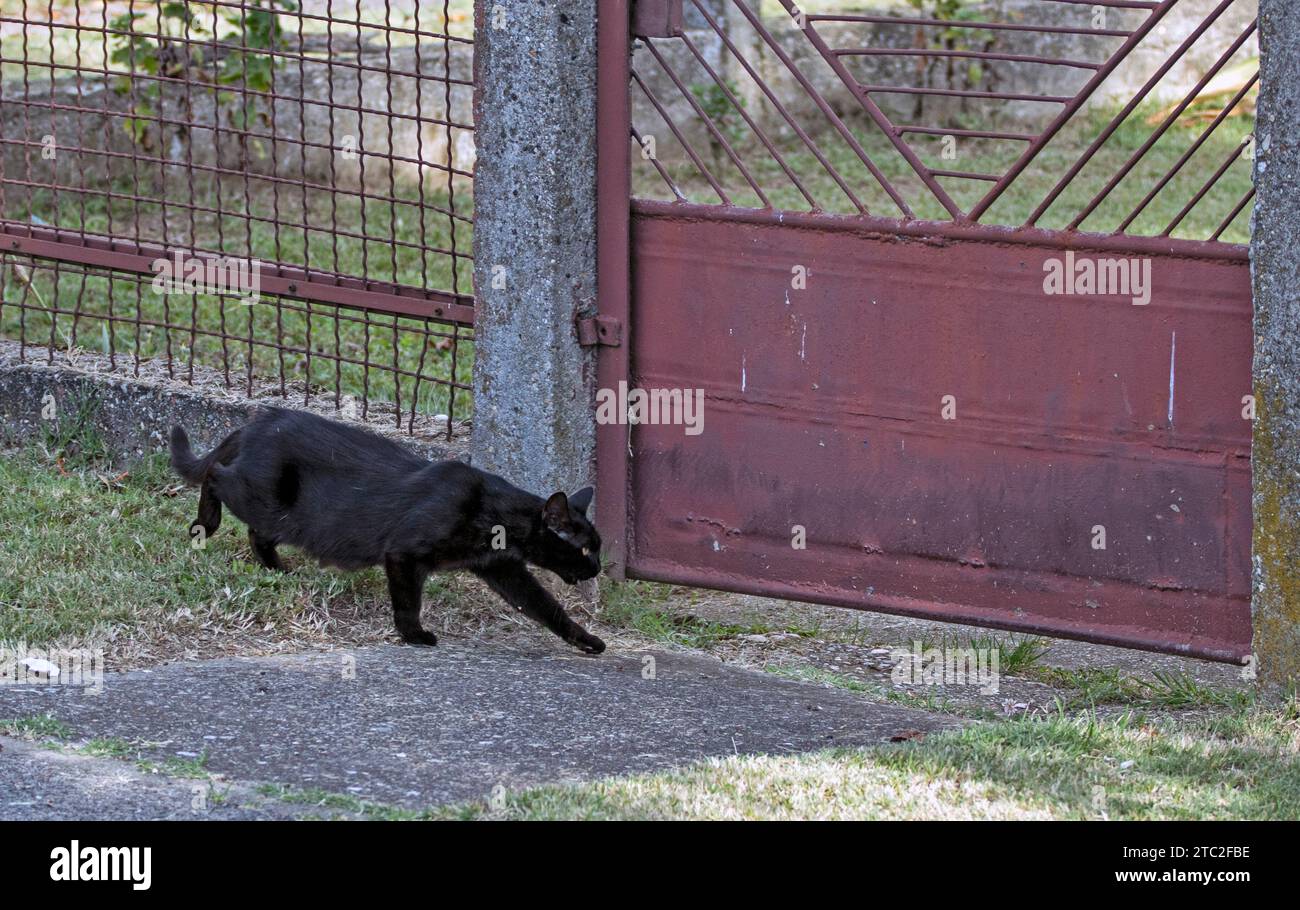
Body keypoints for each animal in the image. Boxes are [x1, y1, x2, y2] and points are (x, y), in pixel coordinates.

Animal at [166, 408, 603, 655]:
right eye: (584, 550)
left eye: (598, 548)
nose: (598, 568)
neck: (495, 513)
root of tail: (258, 423)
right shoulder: (404, 553)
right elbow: (408, 600)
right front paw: (414, 636)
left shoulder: (503, 568)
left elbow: (546, 607)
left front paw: (587, 640)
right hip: (262, 498)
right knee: (215, 473)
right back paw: (205, 524)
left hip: (287, 517)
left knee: (257, 534)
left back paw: (279, 571)